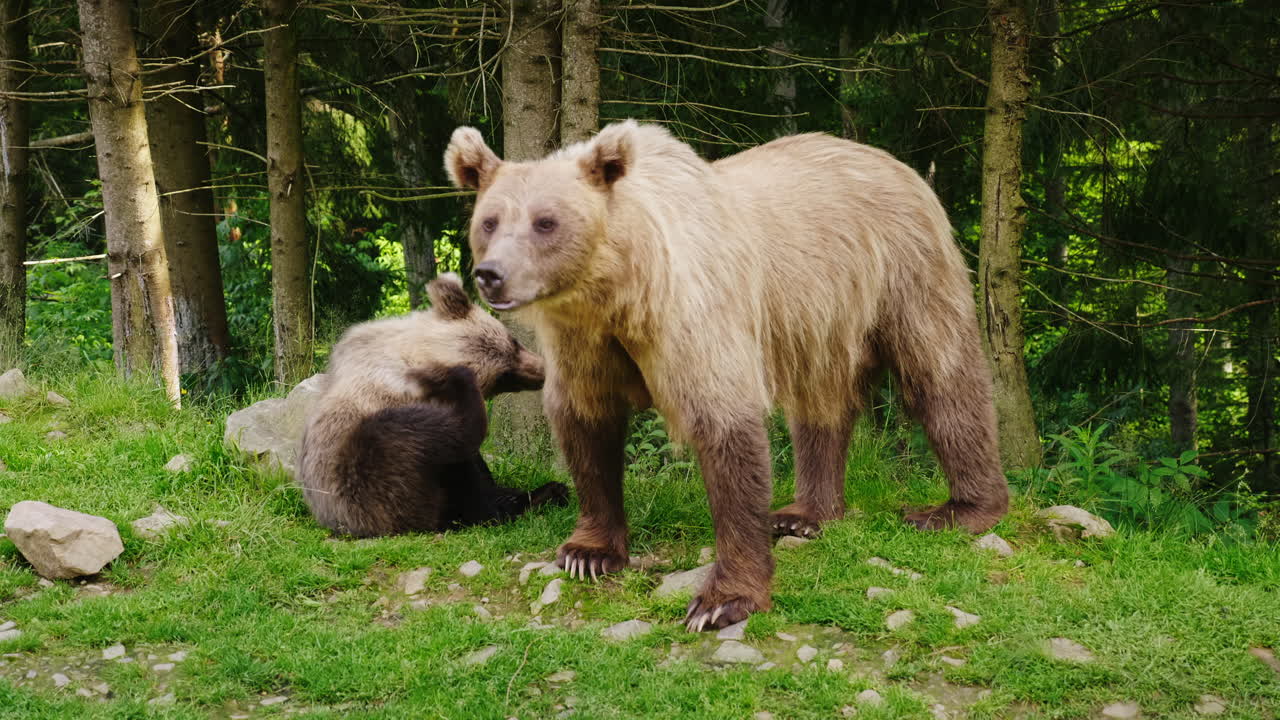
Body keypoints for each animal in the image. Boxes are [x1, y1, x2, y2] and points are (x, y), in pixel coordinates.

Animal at [443, 121, 1009, 630]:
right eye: (490, 220)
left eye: (546, 221)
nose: (491, 275)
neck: (618, 293)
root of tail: (894, 162)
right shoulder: (583, 343)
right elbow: (586, 423)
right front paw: (588, 552)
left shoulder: (692, 316)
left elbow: (724, 428)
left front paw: (721, 600)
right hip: (819, 319)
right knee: (820, 401)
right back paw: (805, 513)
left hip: (903, 267)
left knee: (941, 372)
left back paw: (960, 509)